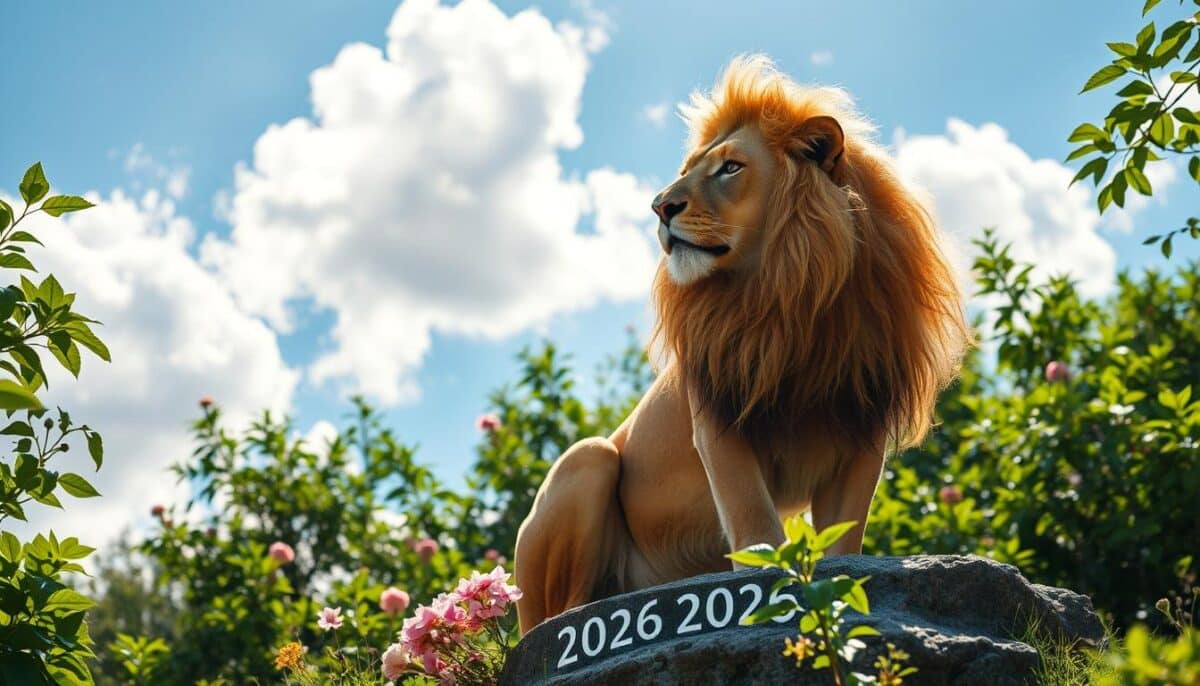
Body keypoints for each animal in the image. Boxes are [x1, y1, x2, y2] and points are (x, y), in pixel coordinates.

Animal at [514, 55, 971, 634]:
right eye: (687, 168)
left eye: (730, 168)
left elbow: (844, 540)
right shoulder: (719, 418)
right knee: (557, 616)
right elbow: (756, 525)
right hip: (586, 462)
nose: (659, 207)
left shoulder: (862, 427)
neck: (791, 291)